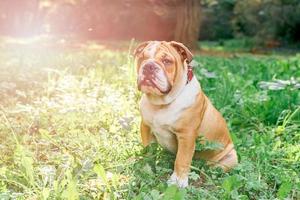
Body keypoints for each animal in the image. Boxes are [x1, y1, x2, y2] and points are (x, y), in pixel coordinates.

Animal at [134, 40, 237, 188]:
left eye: (166, 61)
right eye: (142, 58)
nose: (149, 66)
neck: (162, 103)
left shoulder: (186, 135)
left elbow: (182, 159)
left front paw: (178, 181)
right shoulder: (146, 128)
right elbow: (148, 151)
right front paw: (147, 168)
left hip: (229, 158)